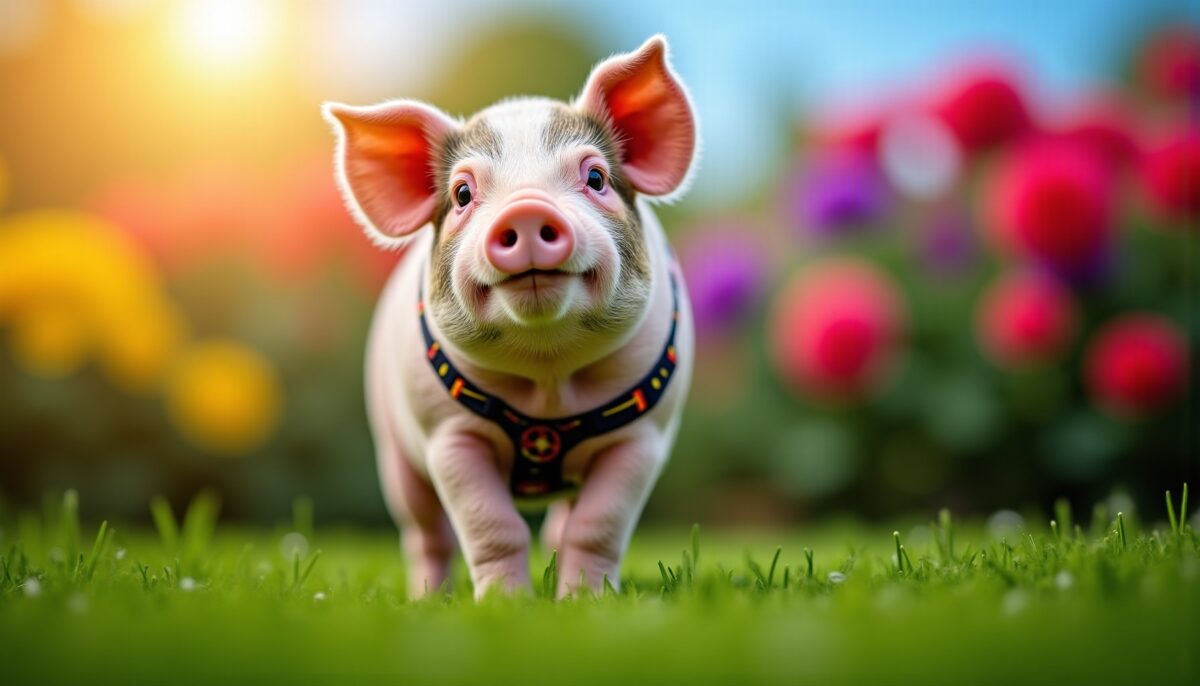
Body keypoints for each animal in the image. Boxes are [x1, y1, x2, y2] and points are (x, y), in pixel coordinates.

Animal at [323, 35, 697, 599]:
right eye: (461, 194)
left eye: (596, 177)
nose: (526, 209)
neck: (548, 382)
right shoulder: (448, 435)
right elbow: (492, 526)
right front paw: (504, 605)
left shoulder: (644, 437)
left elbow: (599, 526)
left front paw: (583, 603)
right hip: (392, 445)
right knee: (425, 531)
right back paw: (427, 596)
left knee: (563, 522)